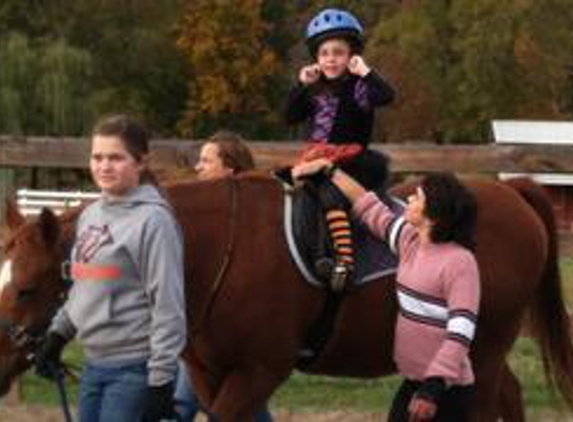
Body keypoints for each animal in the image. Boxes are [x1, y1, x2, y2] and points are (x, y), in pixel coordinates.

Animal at [0, 175, 568, 418]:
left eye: (26, 287)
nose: (0, 361)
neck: (214, 249)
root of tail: (512, 192)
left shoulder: (259, 371)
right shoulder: (209, 374)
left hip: (482, 351)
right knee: (510, 394)